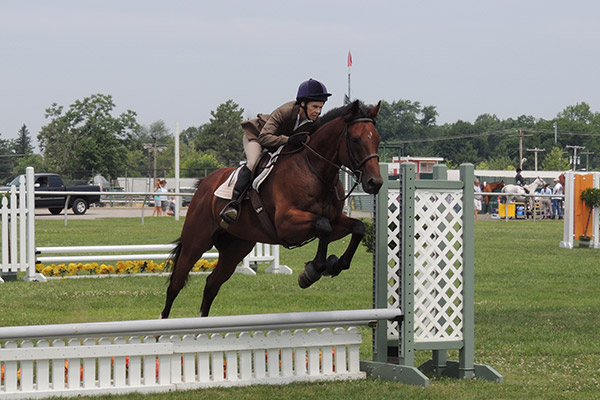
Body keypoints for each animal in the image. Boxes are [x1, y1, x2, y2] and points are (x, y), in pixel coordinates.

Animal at [159, 101, 382, 318]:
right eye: (355, 140)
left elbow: (357, 227)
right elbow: (323, 225)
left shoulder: (334, 221)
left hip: (236, 247)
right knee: (176, 283)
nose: (375, 183)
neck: (315, 170)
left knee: (212, 284)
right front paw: (312, 272)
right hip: (196, 241)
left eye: (378, 139)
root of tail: (204, 183)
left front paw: (336, 264)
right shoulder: (287, 225)